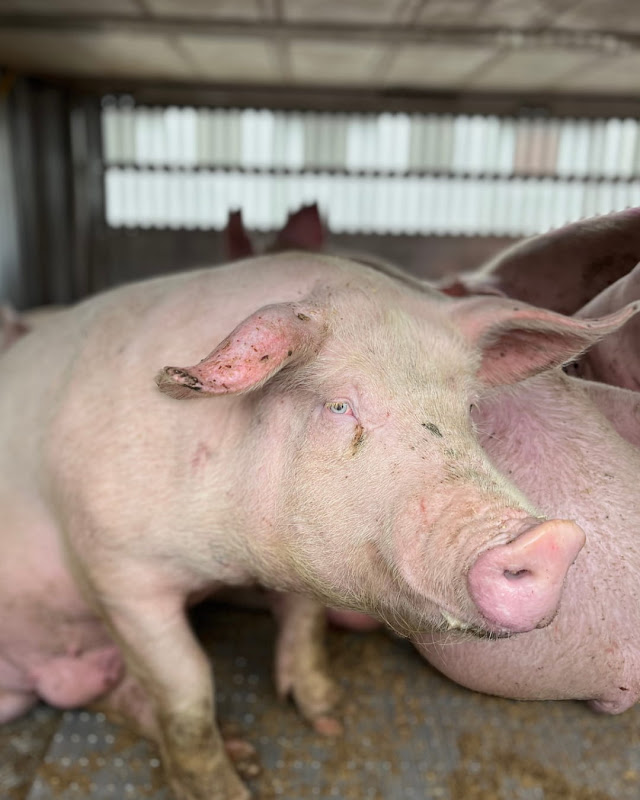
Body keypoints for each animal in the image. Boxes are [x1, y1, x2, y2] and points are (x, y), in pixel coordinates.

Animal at [1, 251, 628, 800]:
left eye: (470, 410)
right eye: (339, 407)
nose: (550, 540)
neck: (233, 556)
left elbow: (303, 624)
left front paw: (329, 719)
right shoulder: (116, 570)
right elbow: (187, 692)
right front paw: (229, 791)